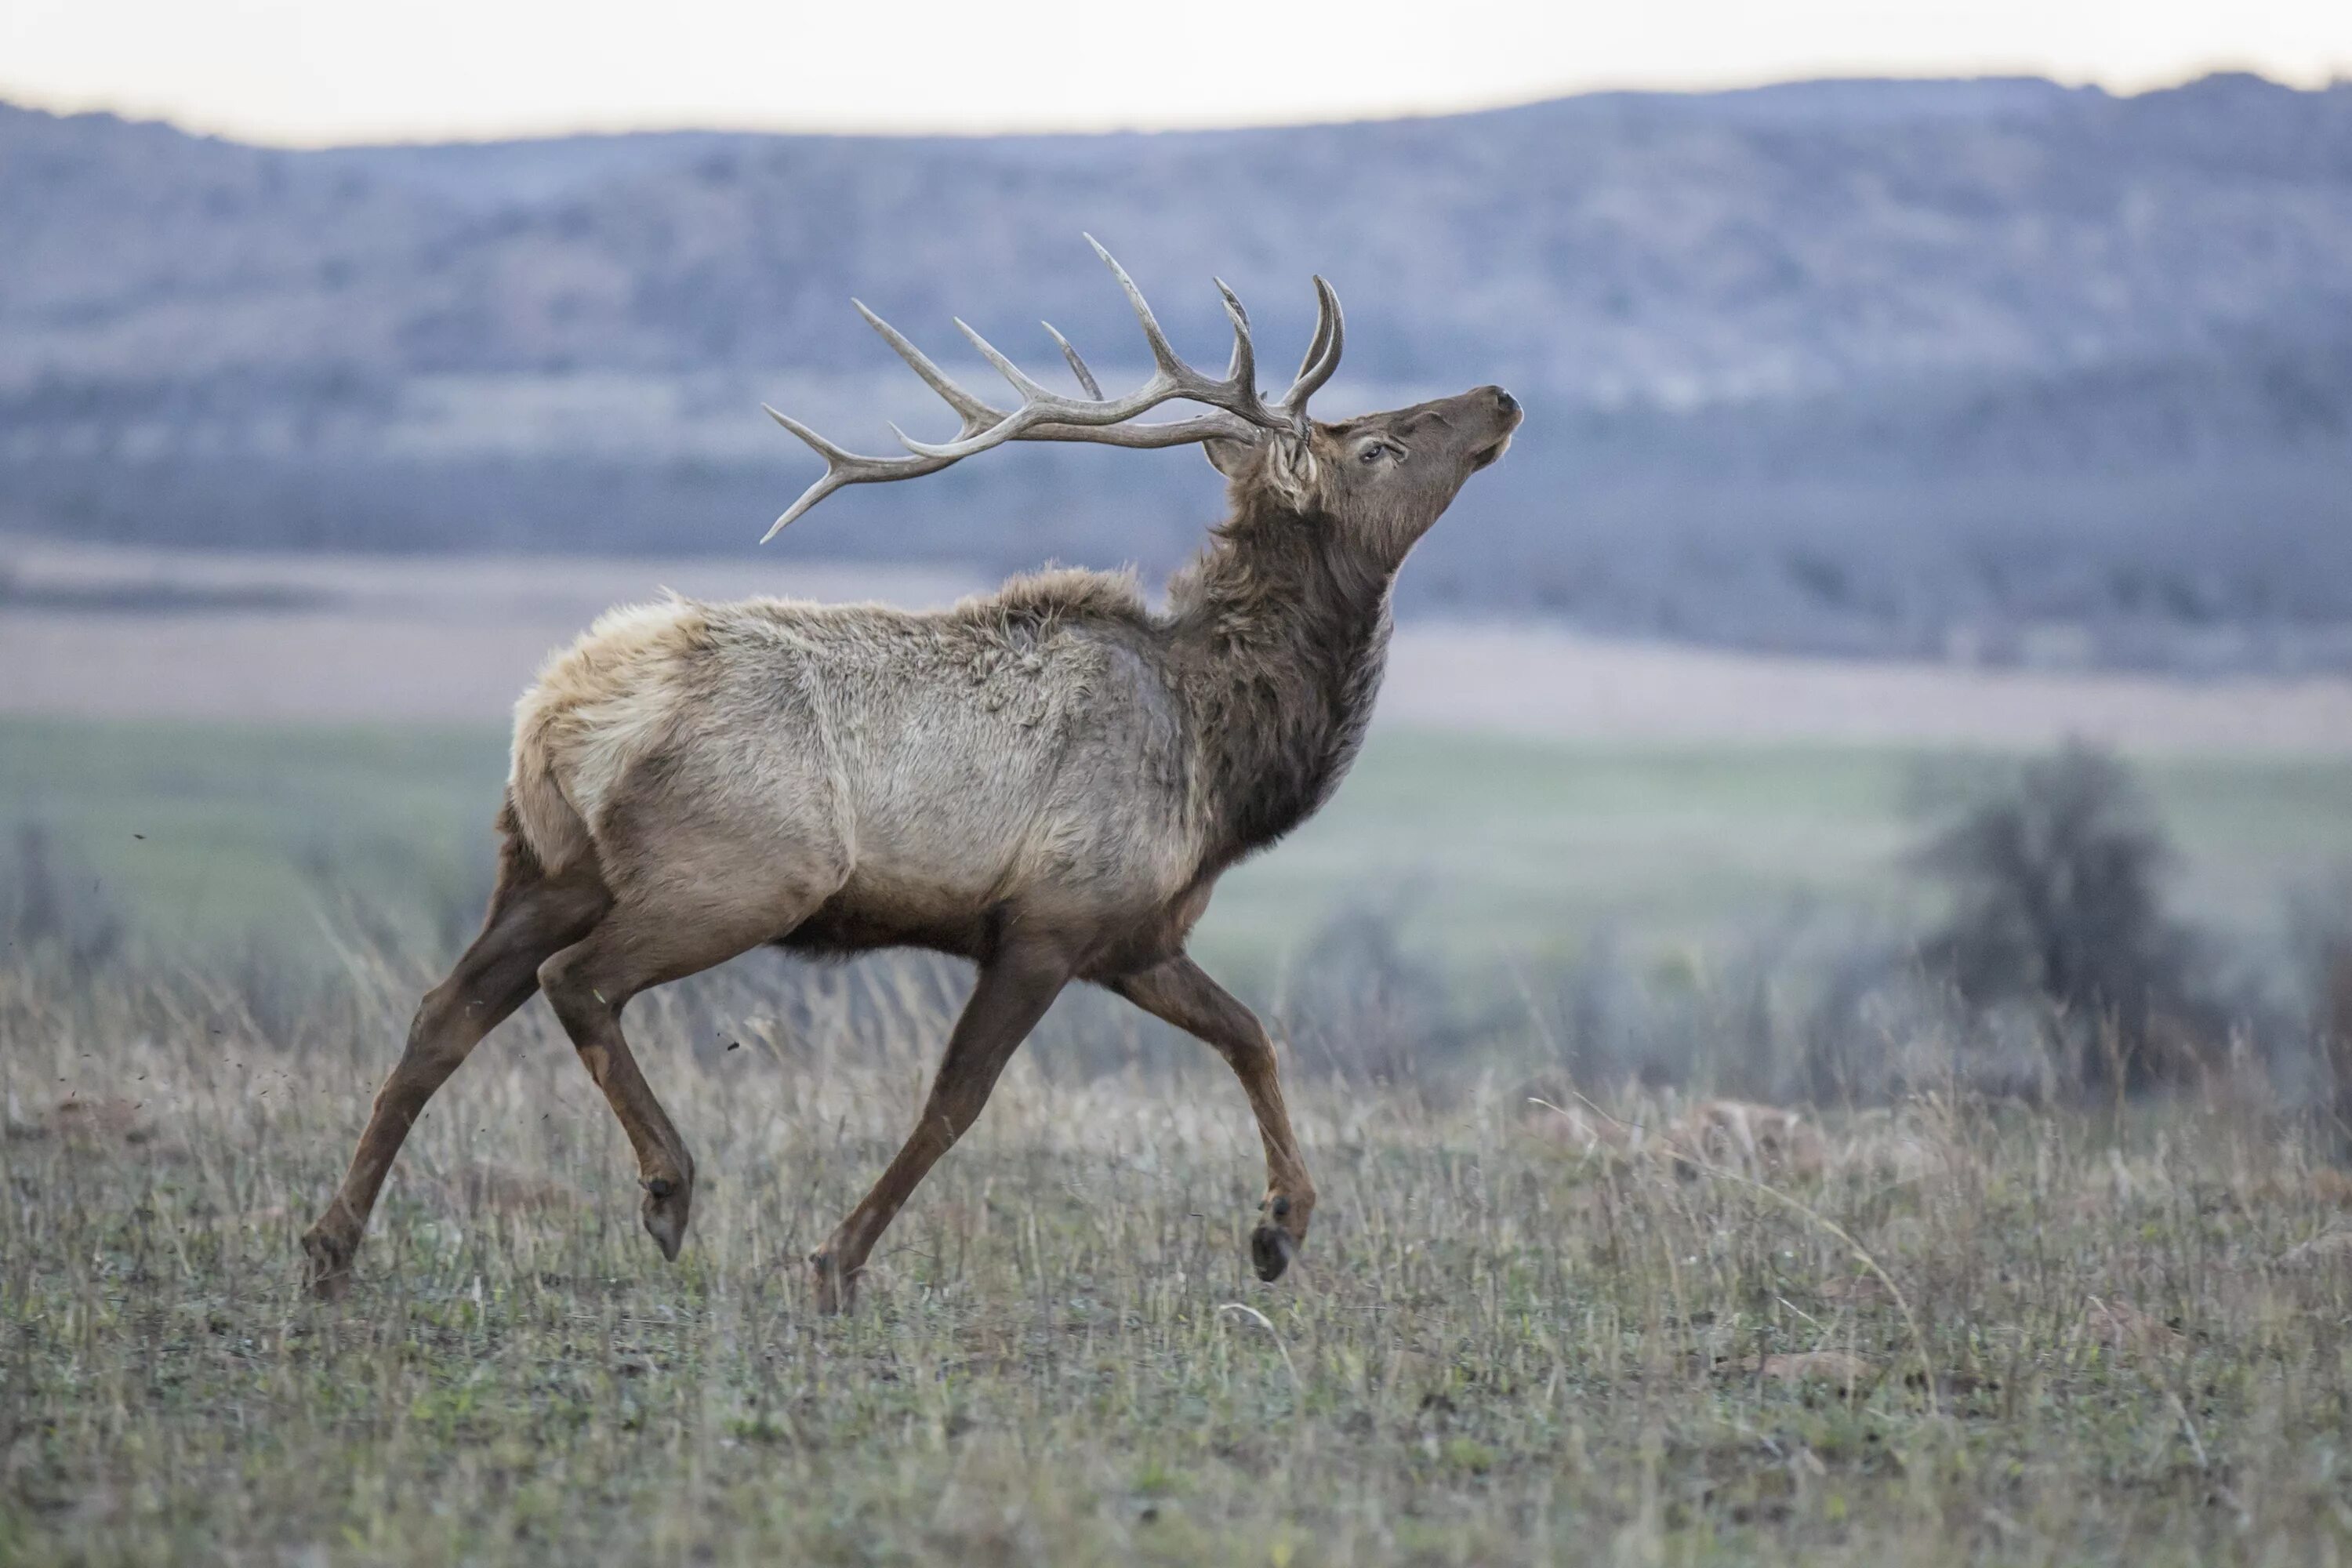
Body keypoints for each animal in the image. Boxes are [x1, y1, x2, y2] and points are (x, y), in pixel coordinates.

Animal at [303, 236, 1515, 1316]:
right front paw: (834, 1263)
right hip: (737, 875)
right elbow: (955, 1102)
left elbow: (1252, 1034)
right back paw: (668, 1188)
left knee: (444, 1013)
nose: (1501, 396)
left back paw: (331, 1245)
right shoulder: (1048, 921)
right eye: (1378, 446)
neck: (1223, 760)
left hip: (546, 863)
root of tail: (558, 713)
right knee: (576, 983)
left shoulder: (1136, 933)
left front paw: (1278, 1229)